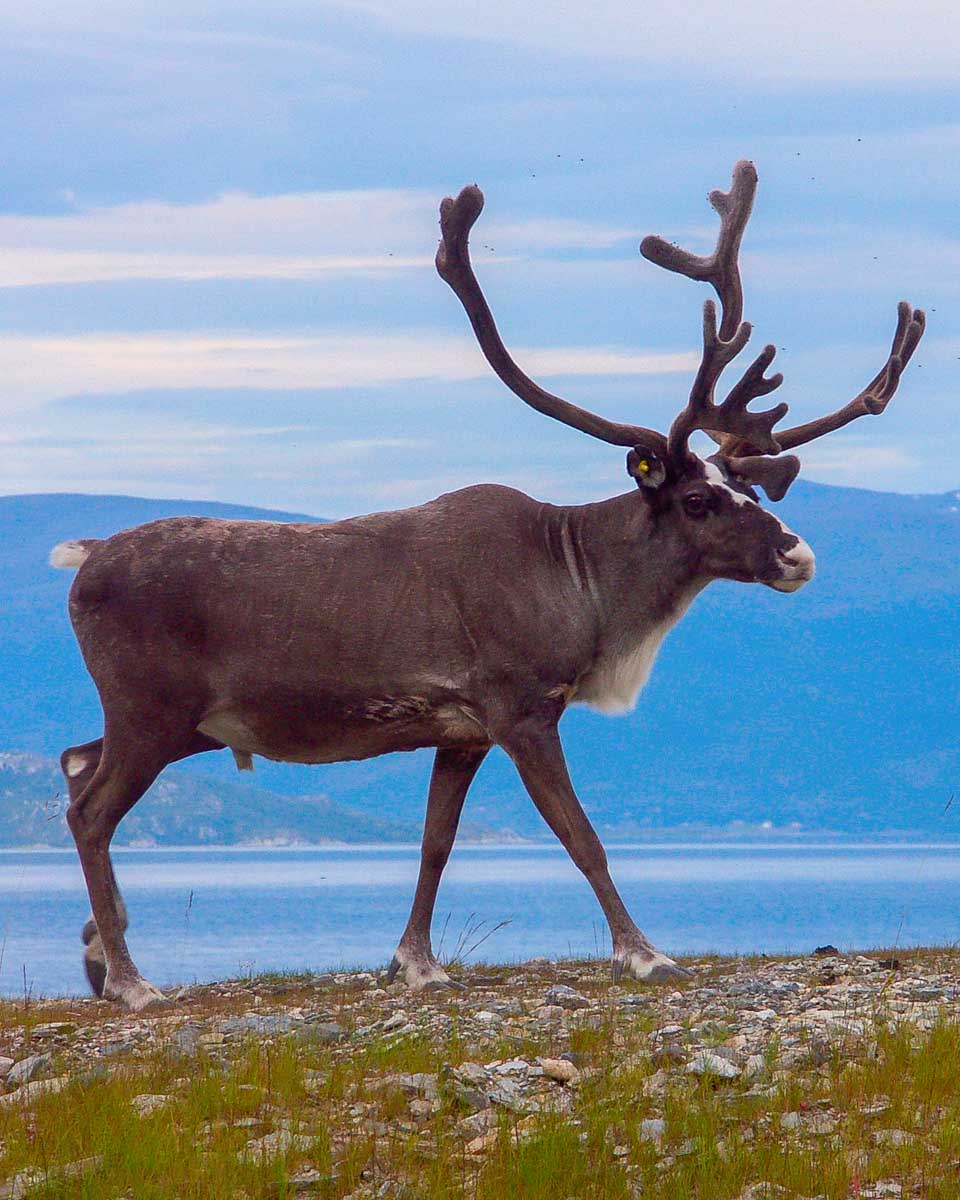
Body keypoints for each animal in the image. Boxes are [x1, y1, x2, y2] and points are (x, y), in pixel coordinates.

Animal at [50, 161, 924, 1011]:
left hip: (185, 723)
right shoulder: (521, 707)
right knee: (89, 810)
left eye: (745, 485)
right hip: (152, 710)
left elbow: (435, 844)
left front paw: (417, 964)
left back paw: (106, 955)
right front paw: (643, 955)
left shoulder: (460, 730)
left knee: (73, 762)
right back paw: (132, 982)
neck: (580, 582)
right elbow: (581, 837)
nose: (797, 555)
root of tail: (84, 560)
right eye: (700, 500)